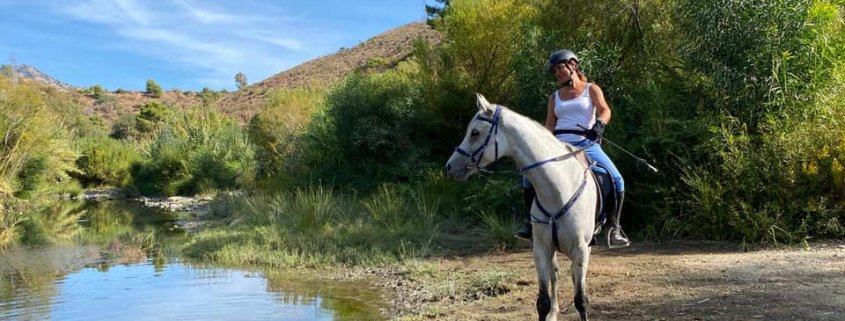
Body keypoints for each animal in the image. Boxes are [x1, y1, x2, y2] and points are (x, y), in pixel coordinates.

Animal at [446, 94, 596, 318]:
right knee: (555, 275)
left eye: (475, 132)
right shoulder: (540, 249)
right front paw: (549, 311)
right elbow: (542, 301)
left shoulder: (580, 251)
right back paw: (555, 312)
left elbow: (581, 301)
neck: (559, 189)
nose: (449, 166)